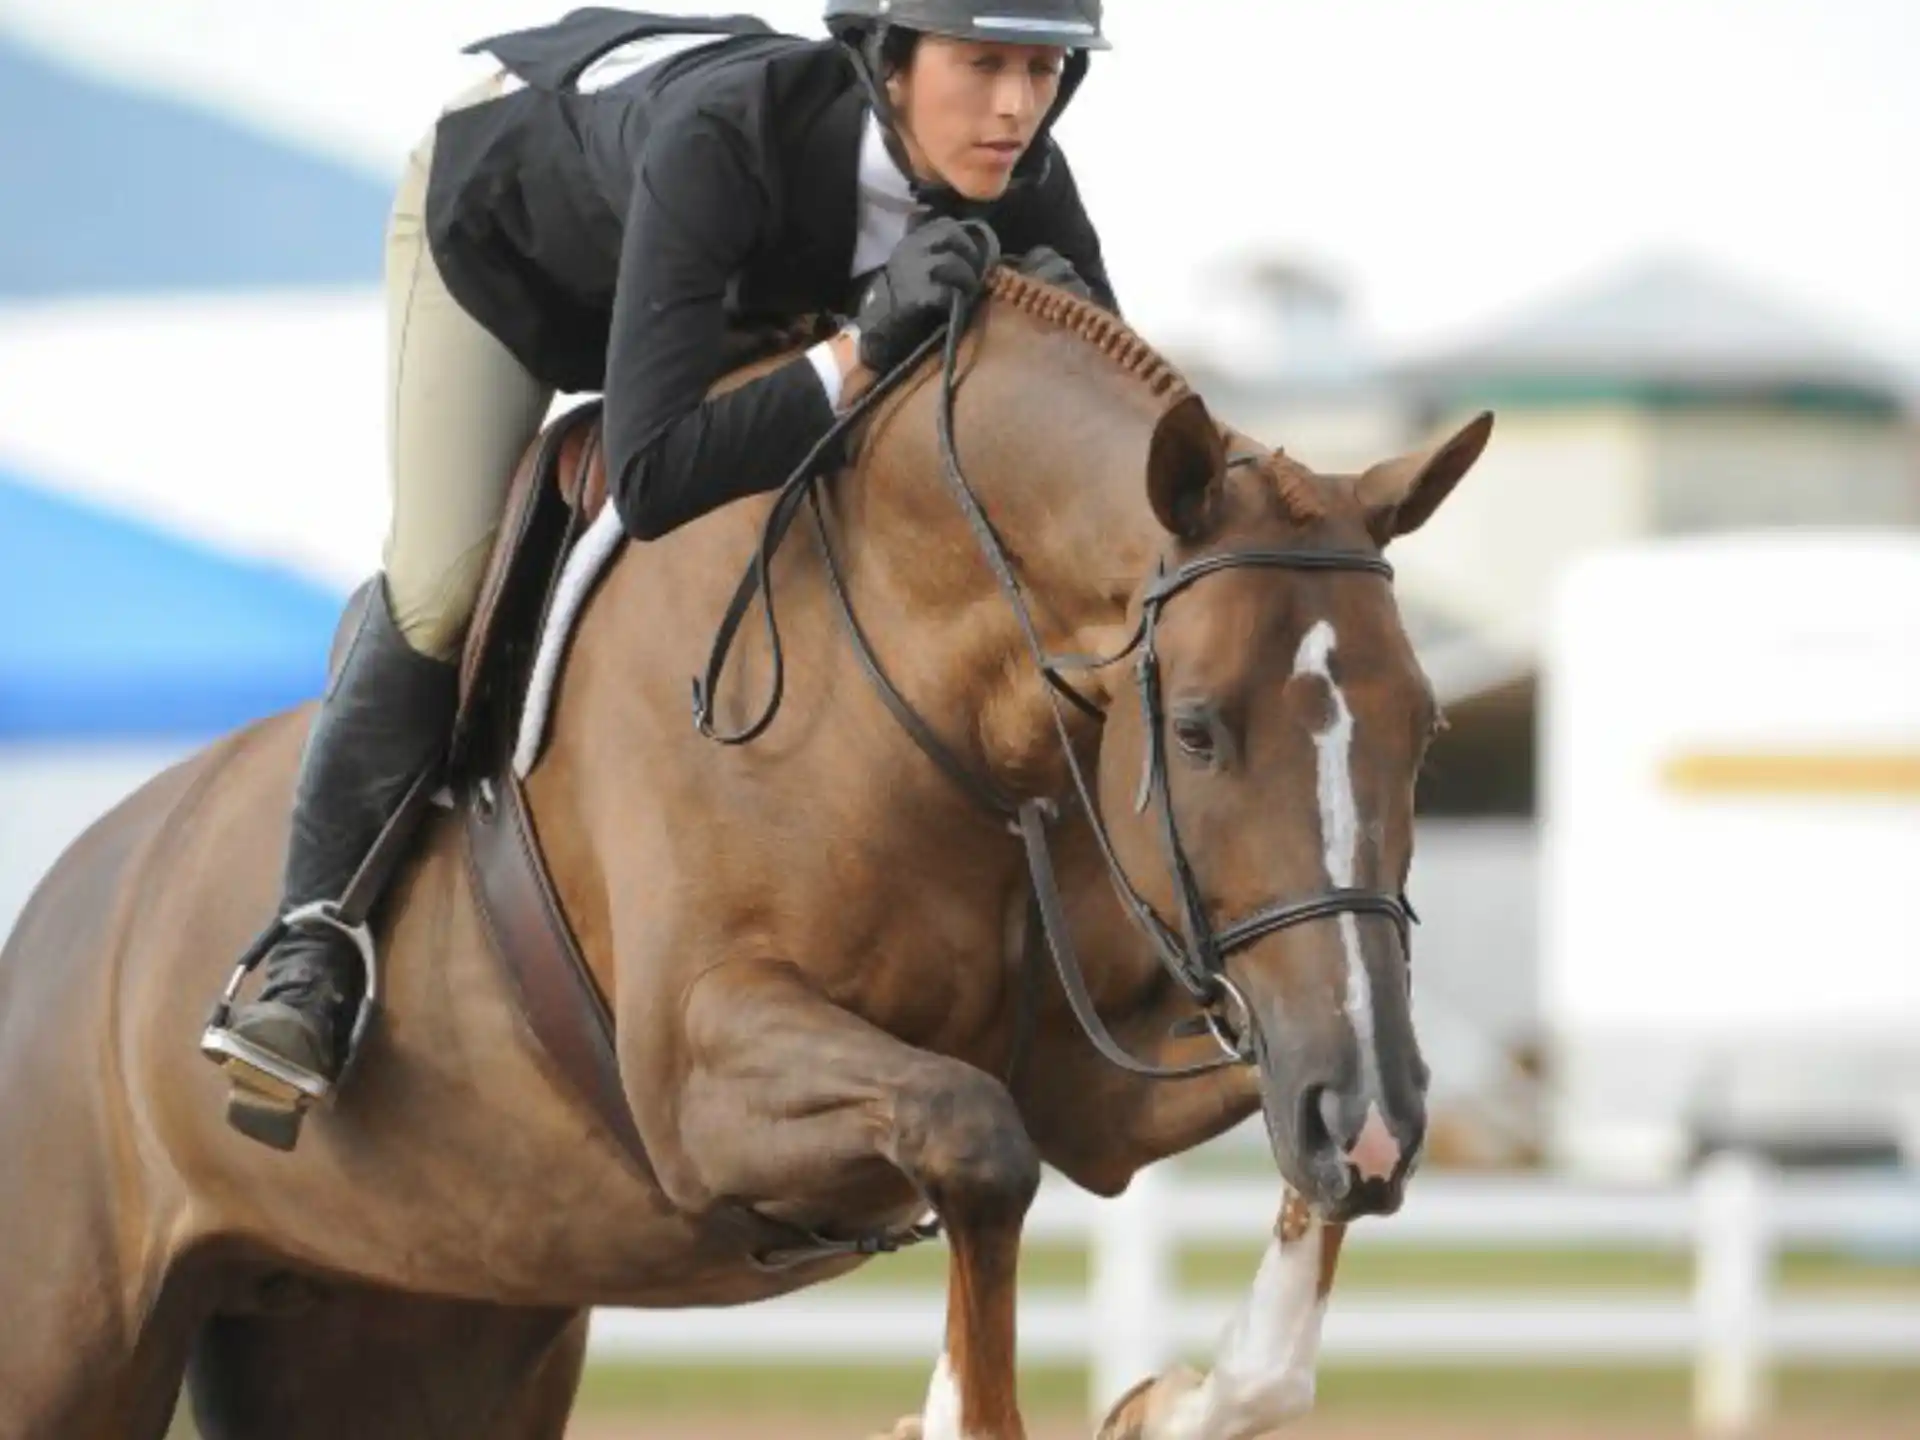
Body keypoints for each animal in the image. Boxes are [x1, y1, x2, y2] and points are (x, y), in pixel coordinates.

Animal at [0, 264, 1490, 1440]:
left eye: (1425, 729)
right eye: (1195, 729)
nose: (1369, 1118)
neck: (912, 684)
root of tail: (61, 904)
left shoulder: (1111, 1093)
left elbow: (1191, 1156)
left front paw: (1183, 1397)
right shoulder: (702, 1084)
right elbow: (973, 1138)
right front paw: (962, 1412)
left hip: (412, 1331)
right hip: (73, 1348)